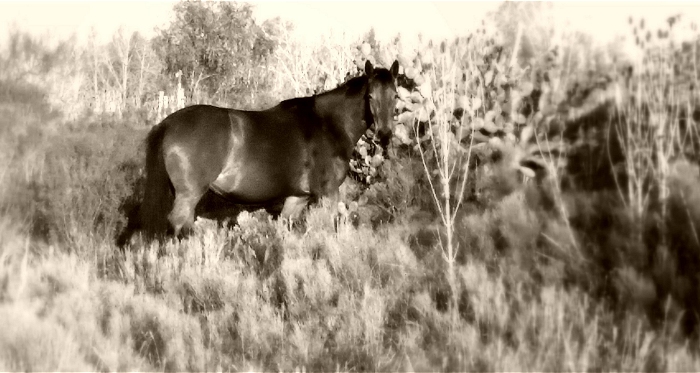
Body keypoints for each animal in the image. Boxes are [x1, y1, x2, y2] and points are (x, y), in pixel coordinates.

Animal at [117, 60, 396, 247]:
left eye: (395, 95)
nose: (385, 134)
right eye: (370, 96)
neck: (326, 123)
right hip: (189, 194)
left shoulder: (297, 198)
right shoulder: (328, 194)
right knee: (178, 224)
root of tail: (168, 123)